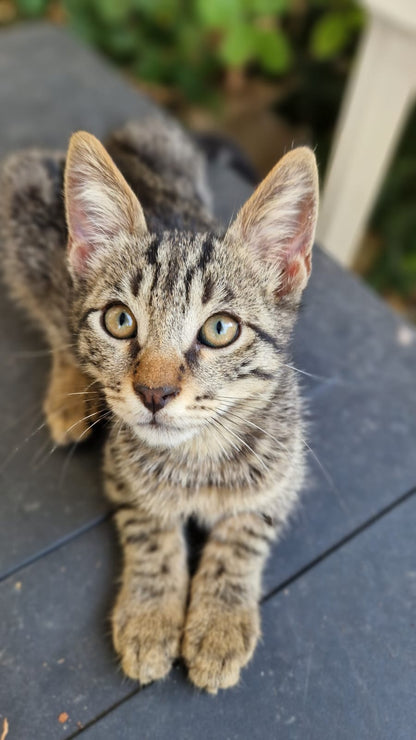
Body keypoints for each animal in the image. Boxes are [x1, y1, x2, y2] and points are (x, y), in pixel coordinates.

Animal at [0, 117, 318, 692]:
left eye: (220, 329)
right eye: (119, 320)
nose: (153, 393)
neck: (200, 453)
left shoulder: (286, 474)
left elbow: (244, 536)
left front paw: (220, 621)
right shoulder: (123, 474)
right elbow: (151, 532)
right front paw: (151, 616)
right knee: (57, 320)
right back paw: (70, 393)